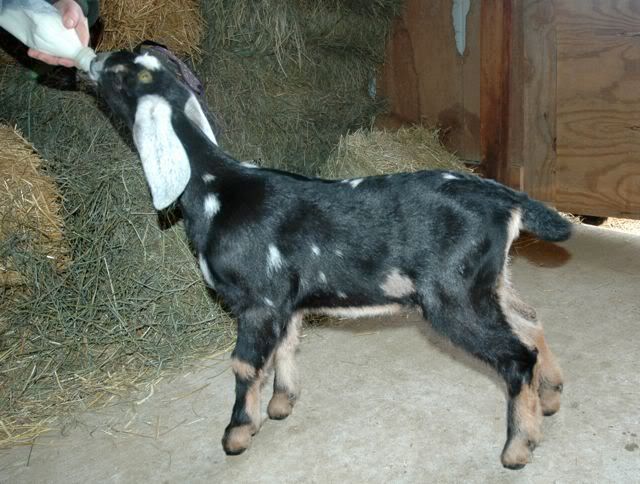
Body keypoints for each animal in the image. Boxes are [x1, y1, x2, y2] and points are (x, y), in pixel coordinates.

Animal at [90, 49, 570, 469]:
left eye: (122, 74)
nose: (95, 60)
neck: (215, 186)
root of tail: (505, 199)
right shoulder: (284, 304)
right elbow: (286, 345)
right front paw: (281, 404)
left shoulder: (258, 301)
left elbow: (244, 363)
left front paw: (238, 433)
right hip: (489, 282)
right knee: (529, 323)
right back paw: (550, 397)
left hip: (454, 294)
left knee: (517, 356)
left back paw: (517, 448)